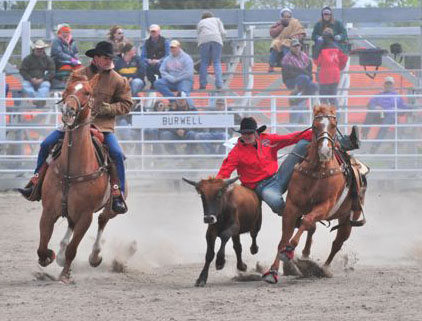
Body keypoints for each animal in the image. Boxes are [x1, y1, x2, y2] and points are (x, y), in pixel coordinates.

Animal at [38, 75, 124, 282]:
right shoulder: (48, 211)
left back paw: (94, 256)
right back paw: (60, 254)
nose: (68, 110)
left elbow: (73, 248)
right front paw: (50, 256)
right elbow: (42, 246)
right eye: (67, 89)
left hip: (111, 207)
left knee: (102, 219)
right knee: (71, 224)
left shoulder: (86, 216)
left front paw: (64, 275)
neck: (71, 169)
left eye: (87, 92)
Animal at [264, 105, 366, 282]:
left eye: (333, 125)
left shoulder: (325, 205)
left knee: (336, 243)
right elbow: (284, 238)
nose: (324, 151)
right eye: (315, 125)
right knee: (312, 228)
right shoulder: (292, 206)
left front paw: (289, 251)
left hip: (348, 218)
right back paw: (305, 256)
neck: (317, 170)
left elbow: (306, 223)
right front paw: (273, 271)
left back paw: (324, 268)